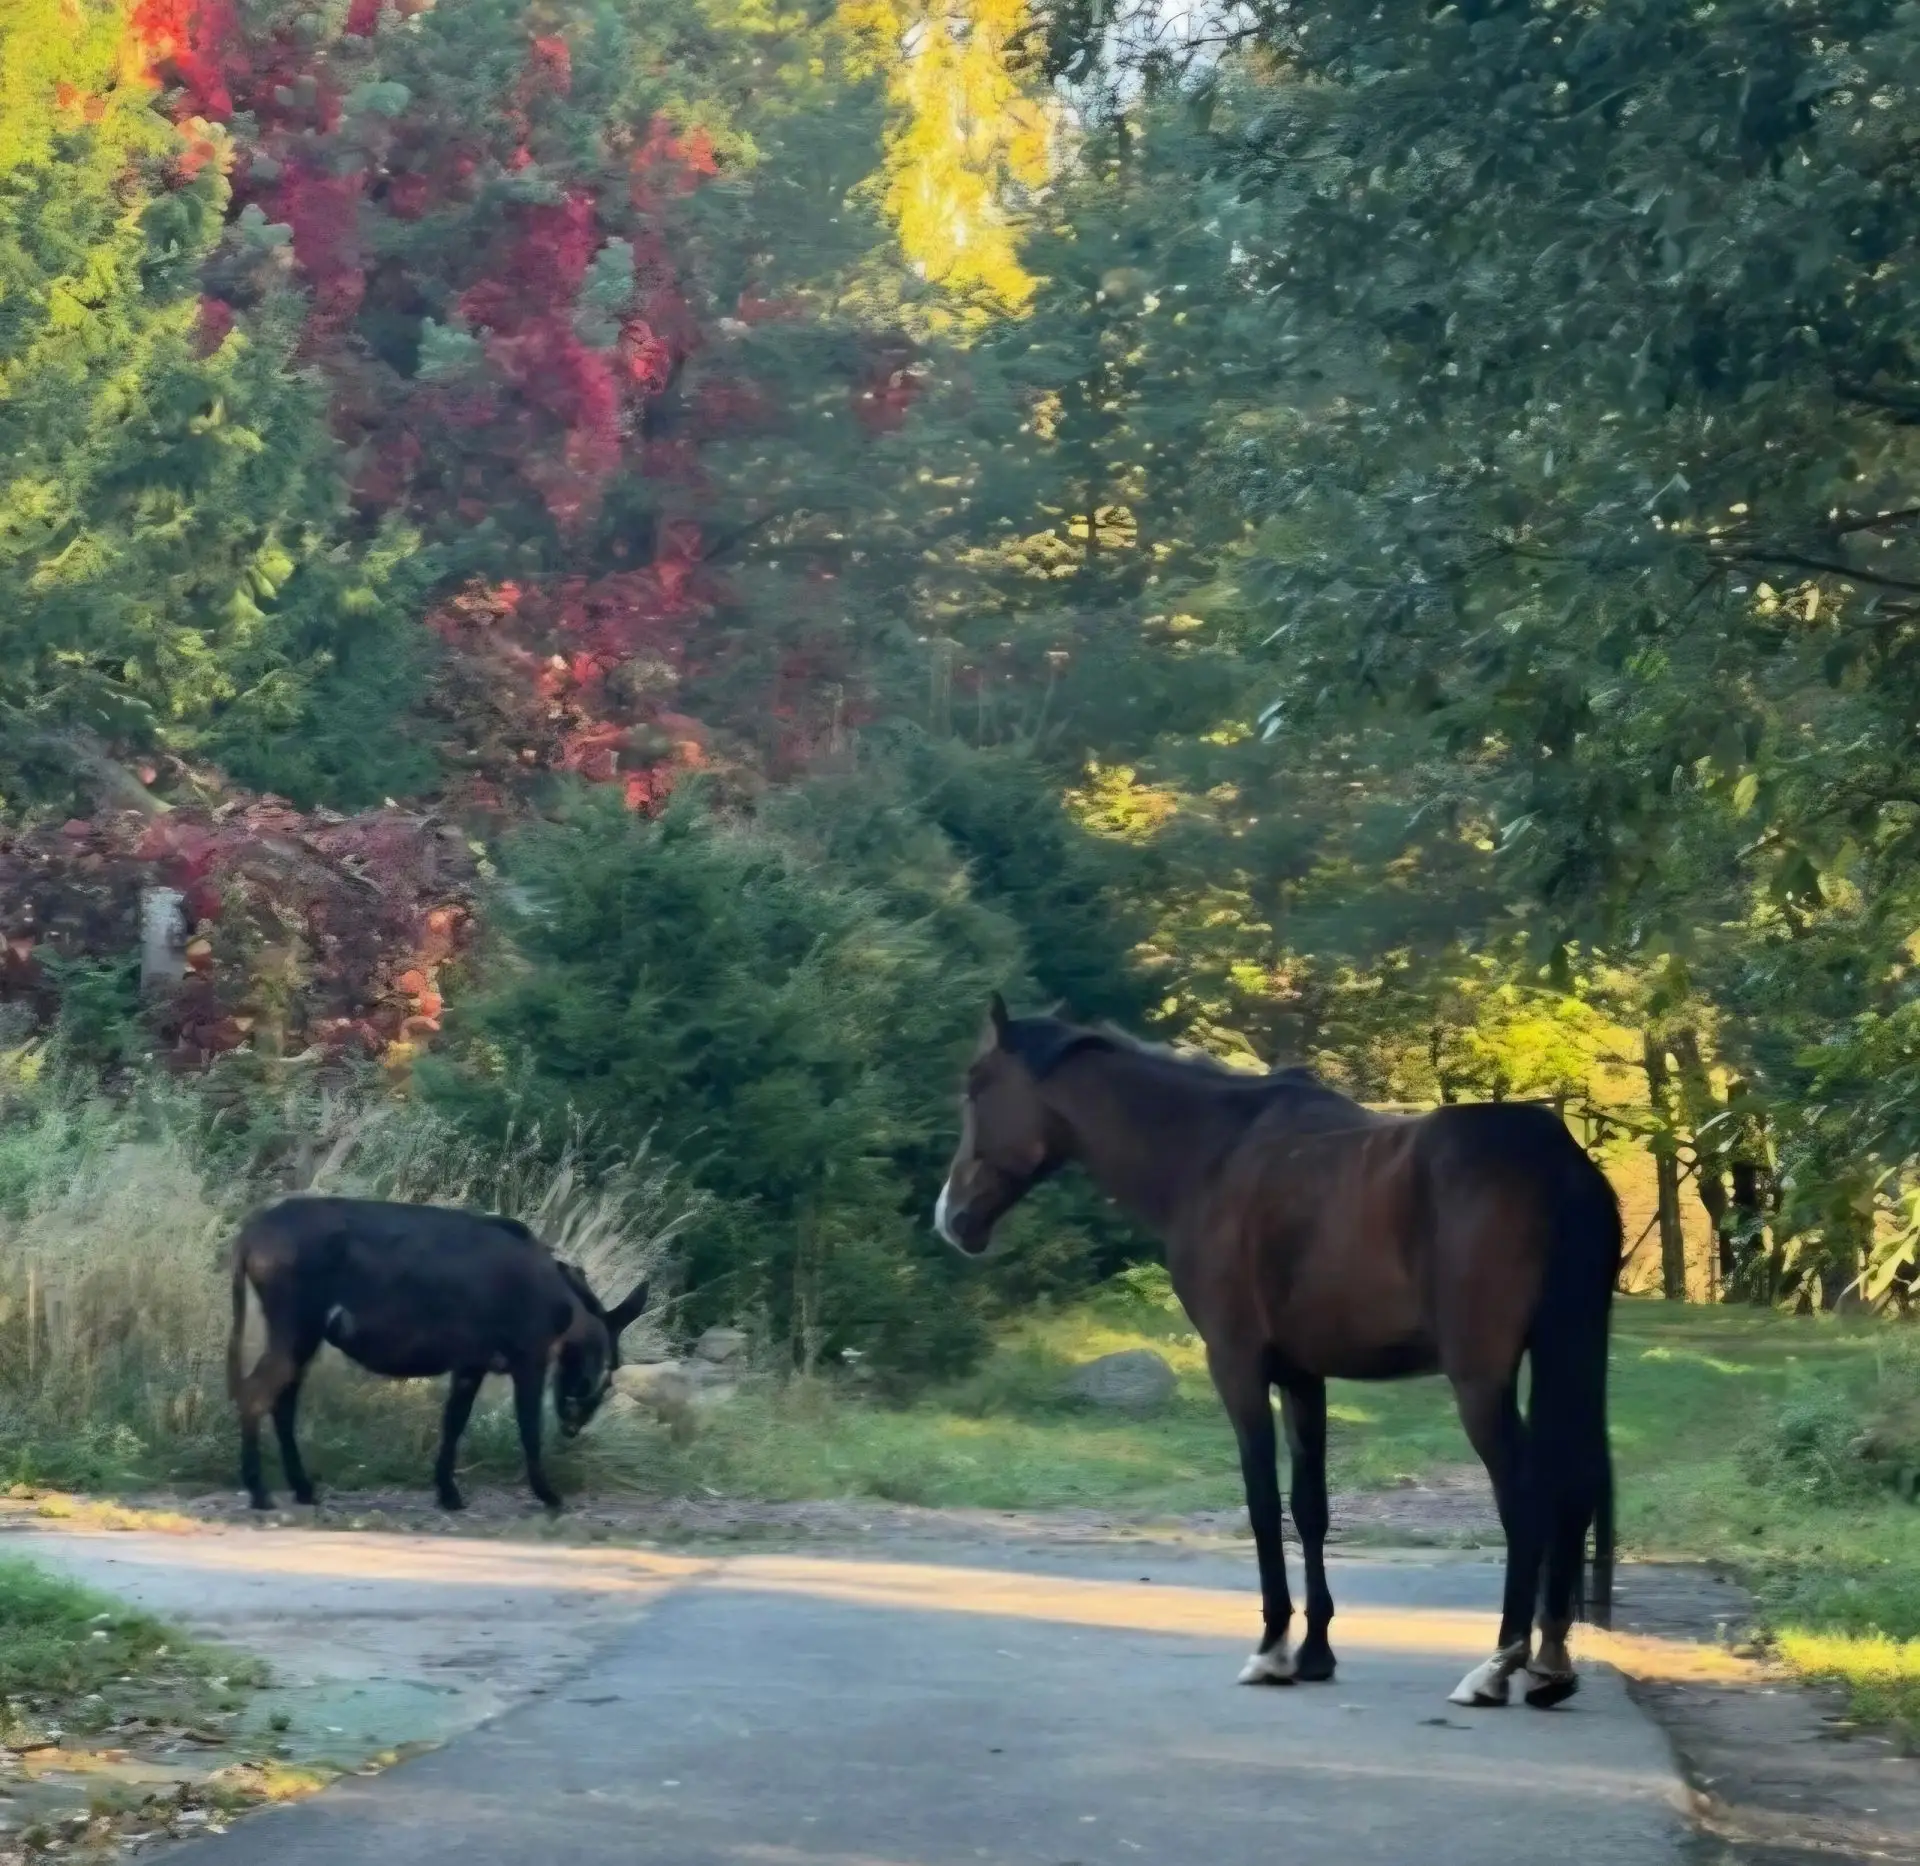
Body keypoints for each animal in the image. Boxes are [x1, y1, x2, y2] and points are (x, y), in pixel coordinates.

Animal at [934, 996, 1618, 1710]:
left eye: (976, 1088)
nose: (951, 1219)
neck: (1212, 1154)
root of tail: (1557, 1162)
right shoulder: (1302, 1375)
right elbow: (1310, 1508)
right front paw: (1315, 1652)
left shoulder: (1236, 1364)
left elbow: (1263, 1503)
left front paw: (1271, 1648)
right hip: (1570, 1353)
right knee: (1576, 1484)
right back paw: (1551, 1663)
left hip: (1481, 1381)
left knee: (1525, 1497)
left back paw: (1497, 1666)